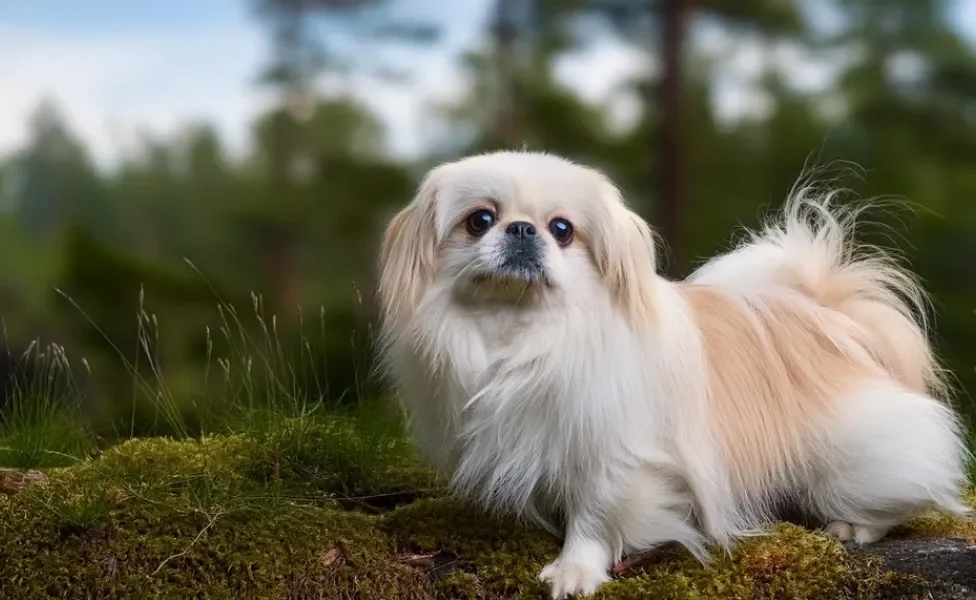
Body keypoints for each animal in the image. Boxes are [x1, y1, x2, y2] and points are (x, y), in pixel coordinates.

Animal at [372, 149, 968, 596]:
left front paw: (575, 571)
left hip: (851, 456)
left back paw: (854, 525)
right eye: (479, 220)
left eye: (562, 230)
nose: (521, 230)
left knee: (910, 488)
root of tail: (832, 316)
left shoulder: (613, 455)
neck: (522, 334)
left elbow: (594, 517)